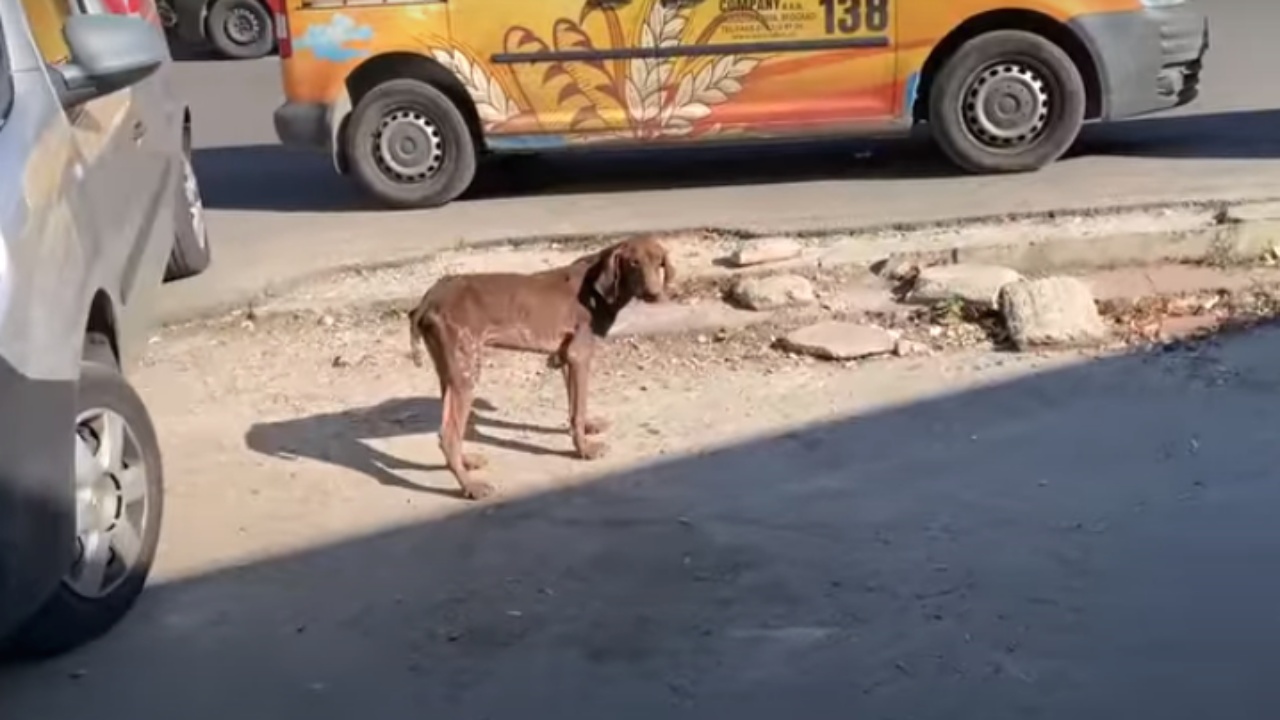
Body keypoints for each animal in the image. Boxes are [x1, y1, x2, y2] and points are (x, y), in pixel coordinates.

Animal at [407, 237, 670, 499]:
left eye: (659, 261)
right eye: (634, 262)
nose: (654, 294)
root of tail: (428, 299)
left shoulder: (565, 357)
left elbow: (575, 407)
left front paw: (587, 428)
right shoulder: (579, 355)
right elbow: (578, 409)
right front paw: (584, 449)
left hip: (450, 373)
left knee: (446, 429)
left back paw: (467, 462)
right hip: (466, 372)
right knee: (449, 435)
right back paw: (471, 487)